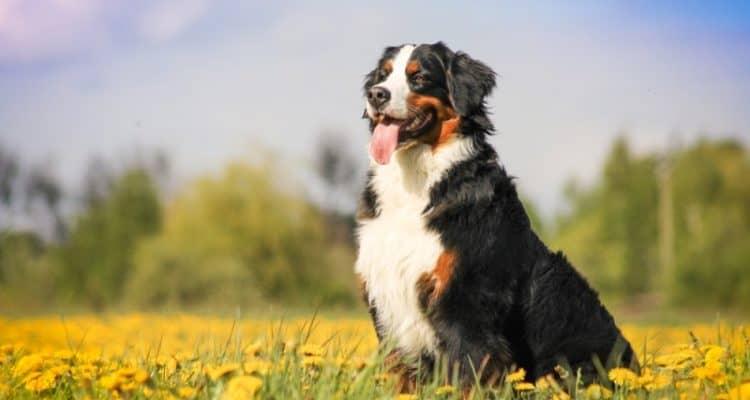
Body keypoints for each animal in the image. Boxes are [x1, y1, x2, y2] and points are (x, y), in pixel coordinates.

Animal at [356, 42, 636, 390]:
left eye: (418, 77)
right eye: (383, 75)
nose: (375, 94)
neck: (416, 181)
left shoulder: (464, 305)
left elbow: (469, 374)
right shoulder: (388, 302)